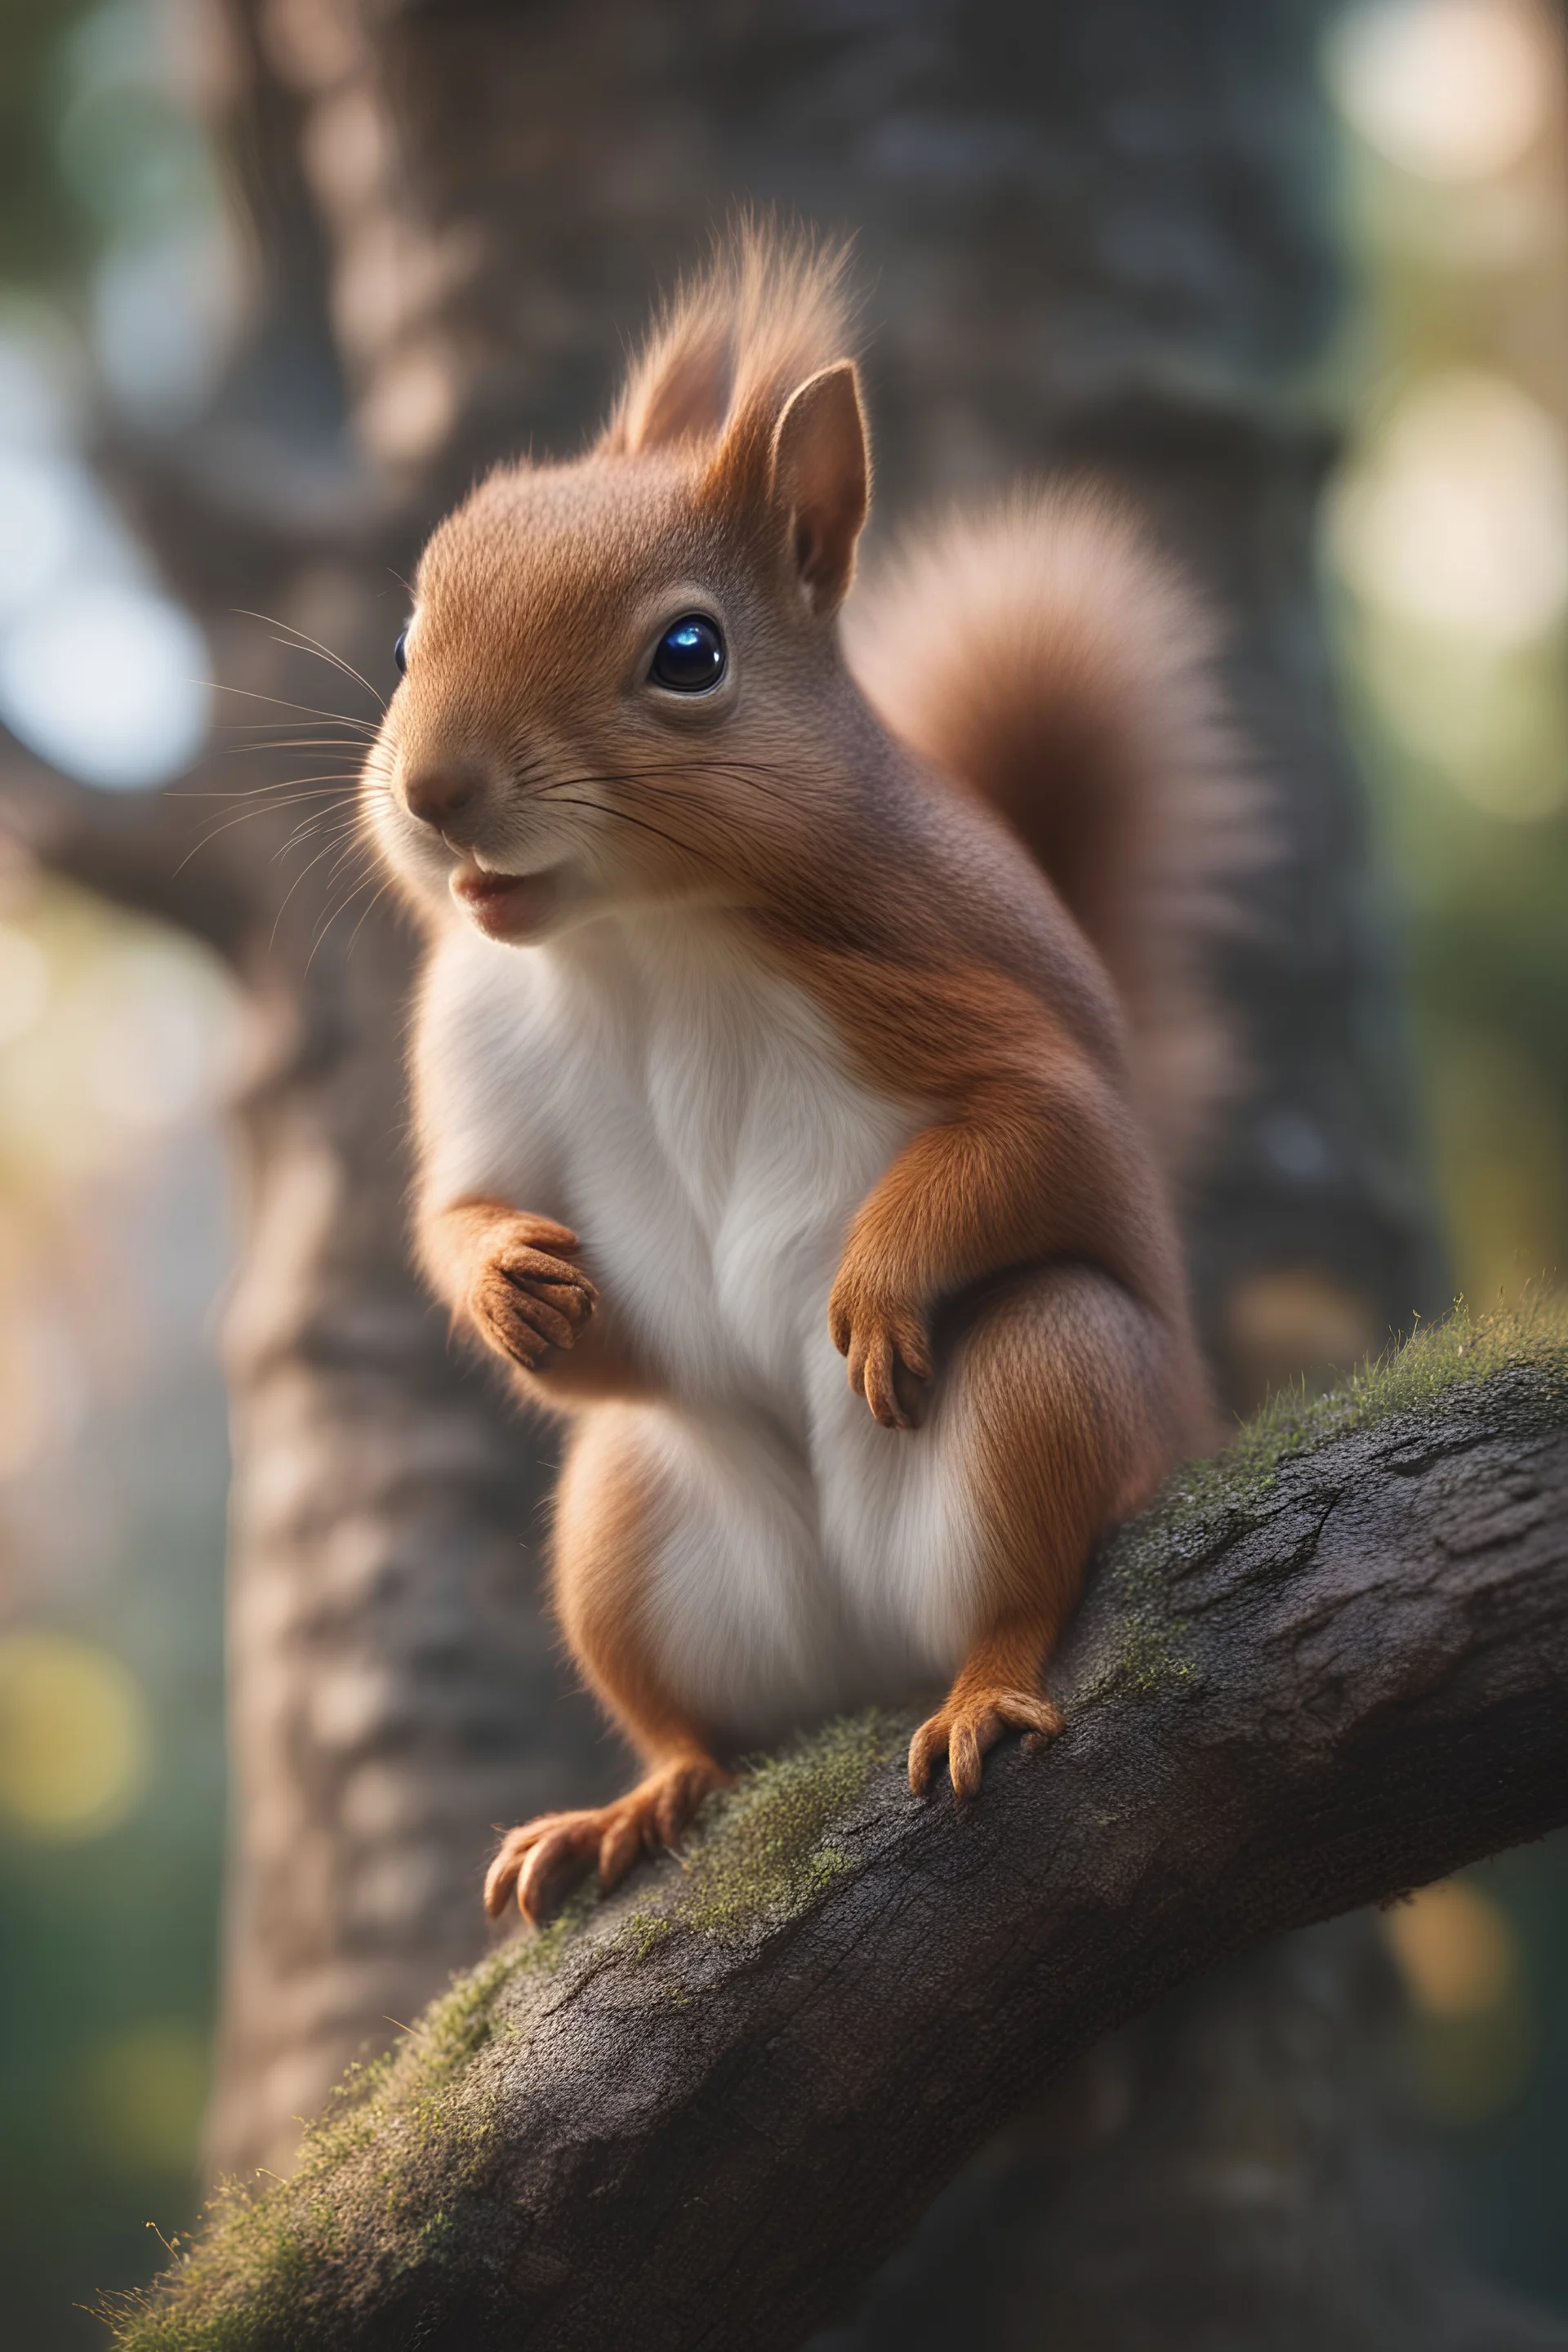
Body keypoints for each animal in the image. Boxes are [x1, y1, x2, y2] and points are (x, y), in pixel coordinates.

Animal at [362, 225, 1259, 1928]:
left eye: (690, 655)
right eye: (404, 637)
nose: (433, 791)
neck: (640, 941)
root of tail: (864, 1645)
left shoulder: (939, 977)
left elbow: (1045, 1132)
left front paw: (875, 1287)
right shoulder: (474, 1031)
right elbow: (455, 1209)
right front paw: (512, 1281)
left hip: (1054, 1375)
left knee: (1023, 1589)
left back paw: (978, 1693)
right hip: (626, 1520)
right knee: (698, 1727)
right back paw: (636, 1800)